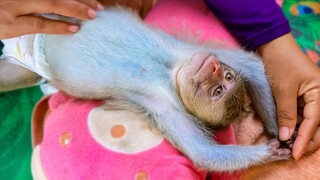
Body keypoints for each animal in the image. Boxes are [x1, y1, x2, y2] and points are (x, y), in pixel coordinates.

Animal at [11, 8, 292, 172]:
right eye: (226, 78)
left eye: (218, 91)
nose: (213, 66)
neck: (170, 73)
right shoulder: (192, 53)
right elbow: (252, 64)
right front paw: (279, 127)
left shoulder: (166, 108)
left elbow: (204, 155)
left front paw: (273, 147)